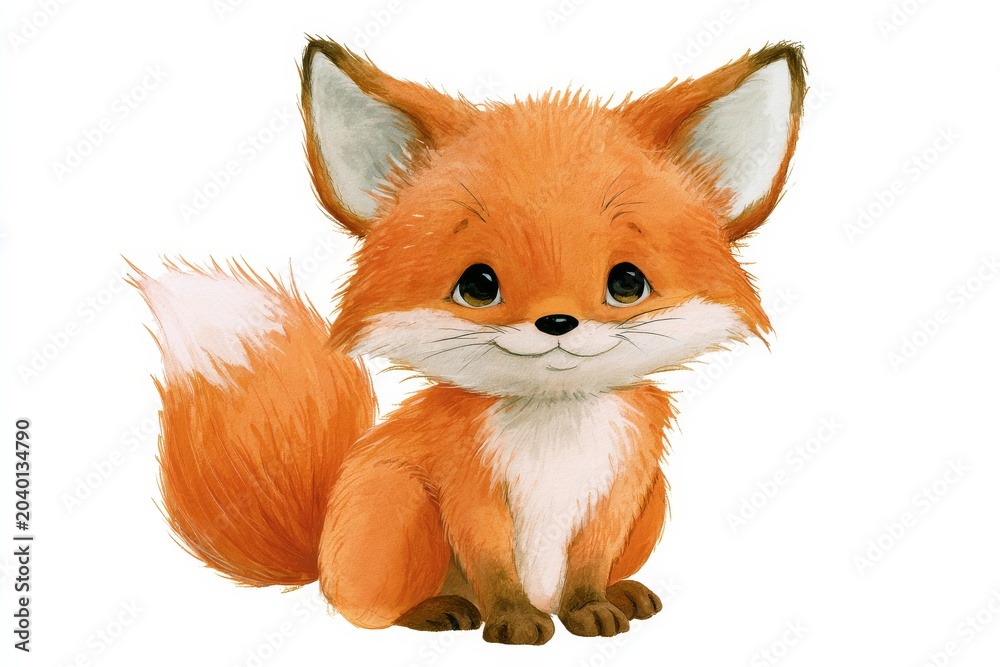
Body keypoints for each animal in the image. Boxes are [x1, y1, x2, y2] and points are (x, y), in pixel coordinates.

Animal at [132, 38, 805, 645]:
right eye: (479, 285)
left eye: (626, 283)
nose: (557, 323)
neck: (555, 429)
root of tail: (320, 552)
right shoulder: (466, 487)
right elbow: (493, 565)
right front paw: (513, 623)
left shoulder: (620, 488)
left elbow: (589, 565)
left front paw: (591, 609)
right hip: (398, 500)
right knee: (364, 610)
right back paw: (435, 611)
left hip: (655, 499)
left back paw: (624, 593)